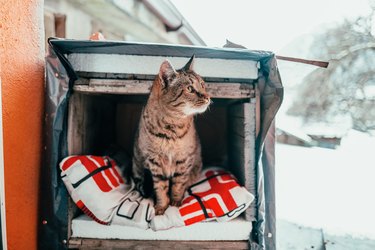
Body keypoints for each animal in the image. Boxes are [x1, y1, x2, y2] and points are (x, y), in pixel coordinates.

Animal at [132, 55, 210, 215]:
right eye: (190, 88)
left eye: (202, 84)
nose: (207, 97)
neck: (171, 126)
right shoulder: (154, 162)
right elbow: (160, 188)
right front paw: (161, 206)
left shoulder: (184, 160)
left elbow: (178, 185)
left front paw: (175, 203)